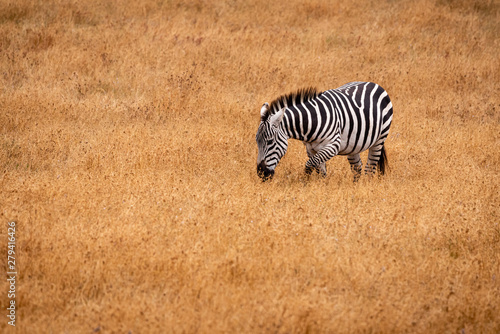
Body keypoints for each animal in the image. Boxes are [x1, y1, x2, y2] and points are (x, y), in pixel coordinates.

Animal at [256, 81, 392, 181]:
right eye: (257, 142)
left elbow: (309, 165)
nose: (261, 173)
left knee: (370, 167)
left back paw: (365, 186)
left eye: (270, 142)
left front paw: (305, 183)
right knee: (357, 168)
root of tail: (373, 83)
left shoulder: (332, 146)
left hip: (380, 138)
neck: (311, 124)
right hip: (353, 145)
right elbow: (319, 169)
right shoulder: (311, 149)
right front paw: (322, 186)